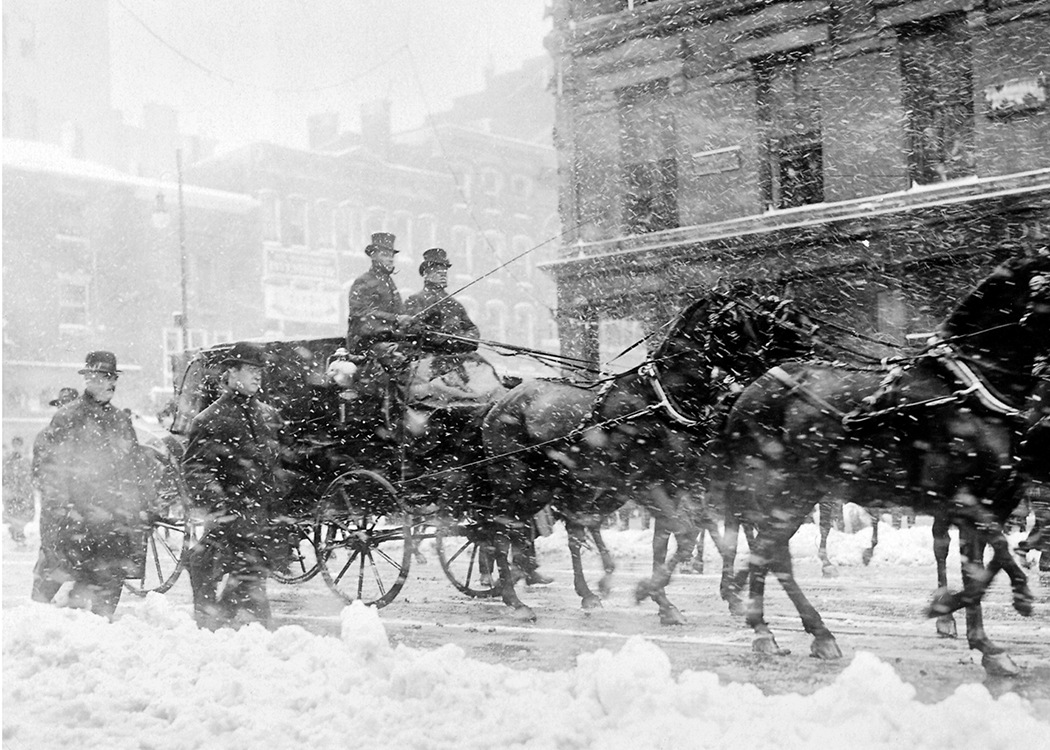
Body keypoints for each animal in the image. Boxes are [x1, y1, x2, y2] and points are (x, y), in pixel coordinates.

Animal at [480, 289, 814, 621]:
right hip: (516, 481)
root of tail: (501, 403)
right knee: (501, 528)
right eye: (742, 320)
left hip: (549, 486)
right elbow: (688, 534)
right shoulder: (648, 484)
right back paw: (514, 597)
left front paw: (666, 601)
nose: (810, 342)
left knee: (557, 528)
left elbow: (670, 541)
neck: (660, 401)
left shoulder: (679, 484)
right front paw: (657, 591)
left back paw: (577, 589)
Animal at [718, 253, 1045, 676]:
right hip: (782, 489)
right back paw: (775, 628)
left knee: (771, 551)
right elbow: (998, 550)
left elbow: (979, 566)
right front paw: (1002, 598)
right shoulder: (960, 498)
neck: (965, 389)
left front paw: (984, 642)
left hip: (800, 493)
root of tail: (746, 395)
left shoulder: (988, 500)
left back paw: (786, 627)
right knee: (770, 552)